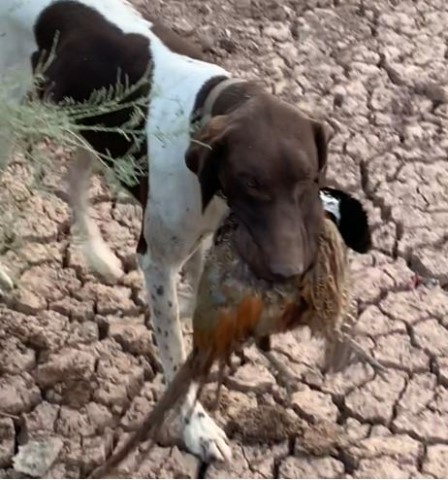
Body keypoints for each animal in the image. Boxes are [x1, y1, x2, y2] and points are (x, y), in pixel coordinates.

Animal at [0, 0, 328, 464]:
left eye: (308, 178)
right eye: (251, 182)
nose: (290, 271)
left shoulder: (207, 243)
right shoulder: (158, 263)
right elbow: (175, 352)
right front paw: (196, 427)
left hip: (95, 127)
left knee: (75, 176)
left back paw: (97, 254)